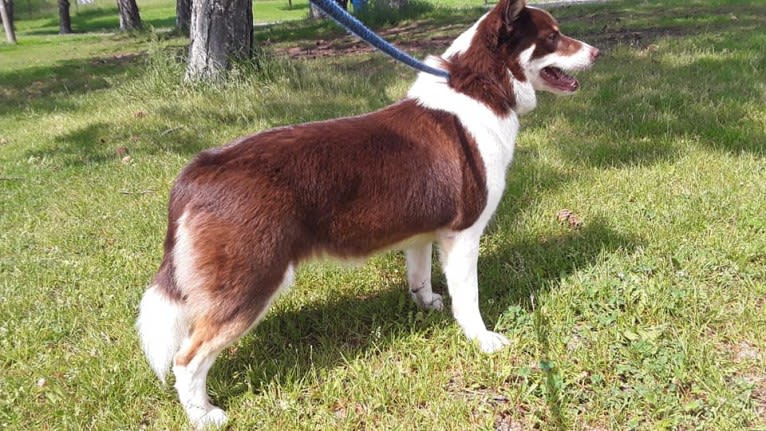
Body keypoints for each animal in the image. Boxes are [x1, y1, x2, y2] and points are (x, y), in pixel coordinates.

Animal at [141, 0, 604, 426]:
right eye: (553, 36)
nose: (597, 52)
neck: (482, 88)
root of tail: (199, 170)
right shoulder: (464, 235)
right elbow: (468, 297)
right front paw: (482, 339)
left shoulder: (424, 232)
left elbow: (420, 274)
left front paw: (427, 303)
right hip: (252, 281)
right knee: (187, 359)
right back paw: (203, 415)